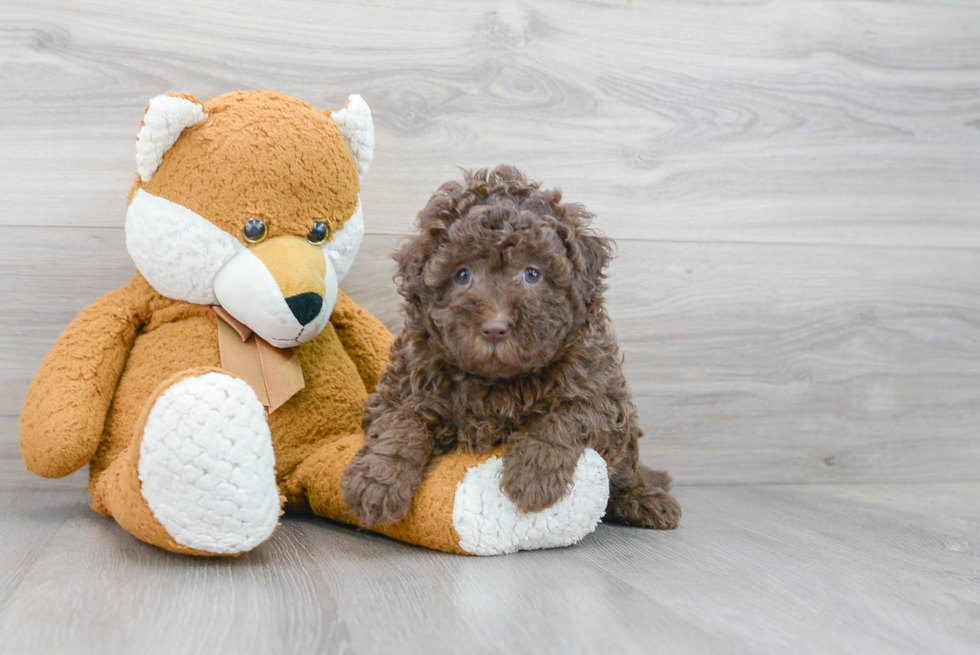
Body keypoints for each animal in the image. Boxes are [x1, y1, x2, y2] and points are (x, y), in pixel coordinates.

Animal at [340, 167, 676, 532]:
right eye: (462, 275)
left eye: (532, 273)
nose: (495, 327)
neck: (498, 381)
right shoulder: (404, 386)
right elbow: (401, 423)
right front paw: (378, 482)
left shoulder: (601, 392)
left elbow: (566, 416)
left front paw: (533, 476)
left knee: (625, 471)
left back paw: (646, 498)